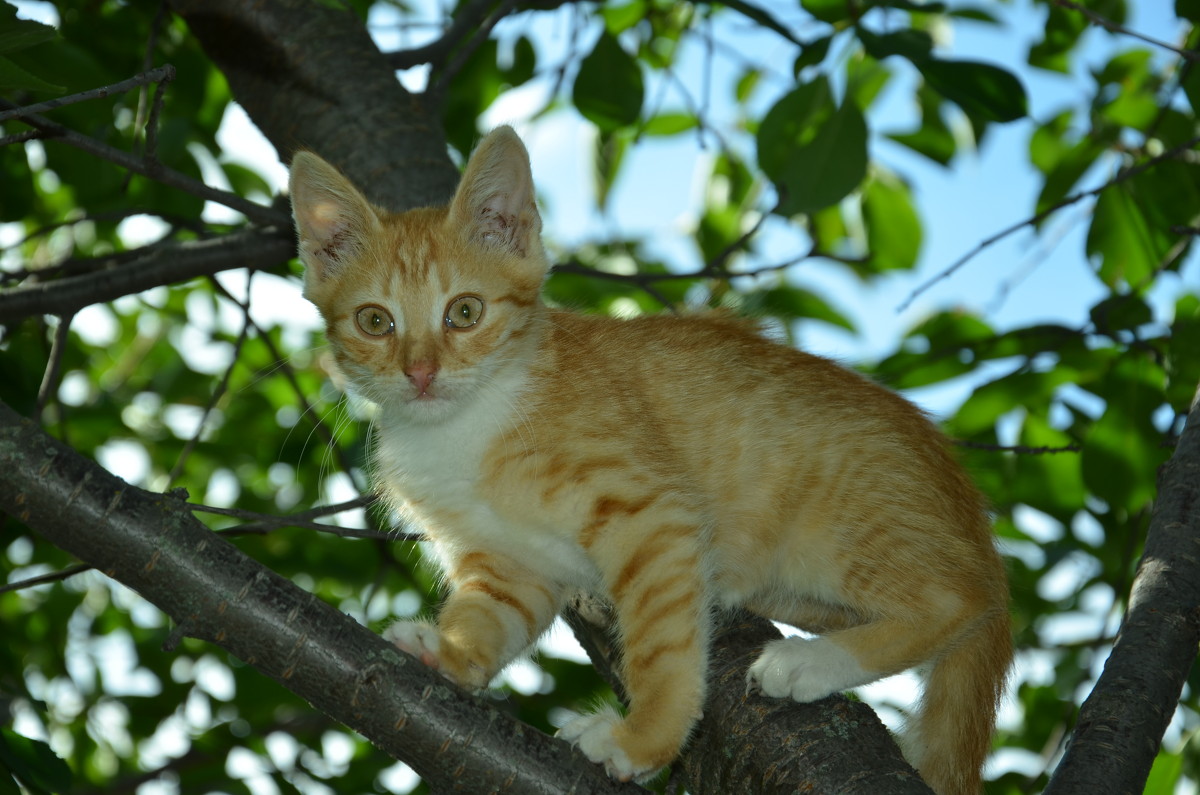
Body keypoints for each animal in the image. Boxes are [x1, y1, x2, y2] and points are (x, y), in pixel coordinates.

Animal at [290, 126, 1012, 795]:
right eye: (375, 321)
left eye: (464, 312)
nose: (420, 374)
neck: (466, 423)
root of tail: (970, 511)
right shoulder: (504, 562)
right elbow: (487, 615)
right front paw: (449, 652)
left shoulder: (650, 511)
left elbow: (663, 647)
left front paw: (644, 738)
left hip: (841, 527)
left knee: (960, 601)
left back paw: (814, 661)